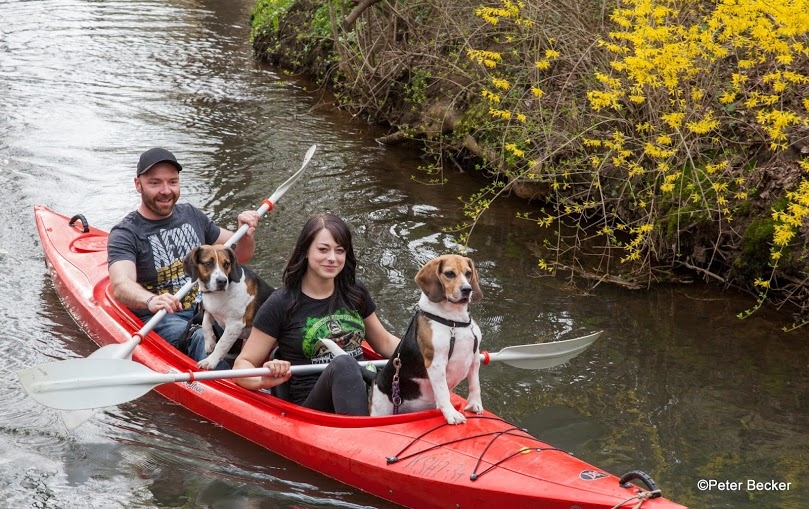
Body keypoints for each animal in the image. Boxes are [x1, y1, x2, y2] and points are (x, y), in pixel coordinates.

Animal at [370, 254, 482, 424]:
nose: (467, 289)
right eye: (450, 274)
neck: (454, 322)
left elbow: (475, 385)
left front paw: (475, 404)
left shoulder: (474, 358)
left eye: (468, 273)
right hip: (379, 410)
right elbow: (443, 392)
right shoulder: (436, 364)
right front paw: (451, 414)